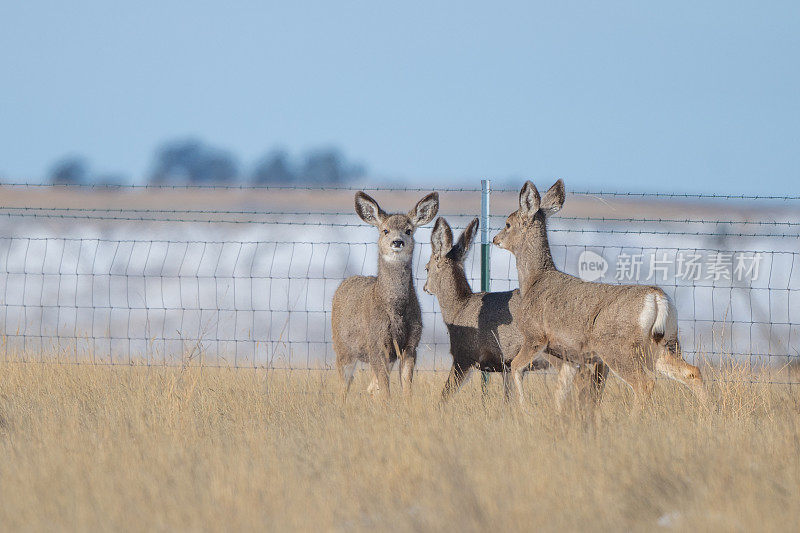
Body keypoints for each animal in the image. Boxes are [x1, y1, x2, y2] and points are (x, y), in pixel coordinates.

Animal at [330, 191, 438, 400]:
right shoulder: (376, 344)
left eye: (408, 230)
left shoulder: (410, 345)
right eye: (385, 230)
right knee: (343, 384)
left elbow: (406, 387)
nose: (397, 242)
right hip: (342, 347)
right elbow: (386, 391)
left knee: (370, 387)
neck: (395, 311)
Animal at [424, 214, 608, 410]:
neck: (458, 308)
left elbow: (444, 396)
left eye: (426, 268)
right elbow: (507, 399)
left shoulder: (464, 355)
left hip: (558, 350)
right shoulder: (504, 365)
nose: (425, 287)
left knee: (584, 380)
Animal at [490, 179, 708, 412]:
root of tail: (657, 298)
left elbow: (516, 367)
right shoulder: (571, 356)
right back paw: (707, 411)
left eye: (508, 224)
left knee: (644, 383)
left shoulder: (535, 336)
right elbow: (563, 390)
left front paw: (524, 410)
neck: (534, 281)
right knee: (692, 372)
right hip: (664, 344)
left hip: (617, 347)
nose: (495, 239)